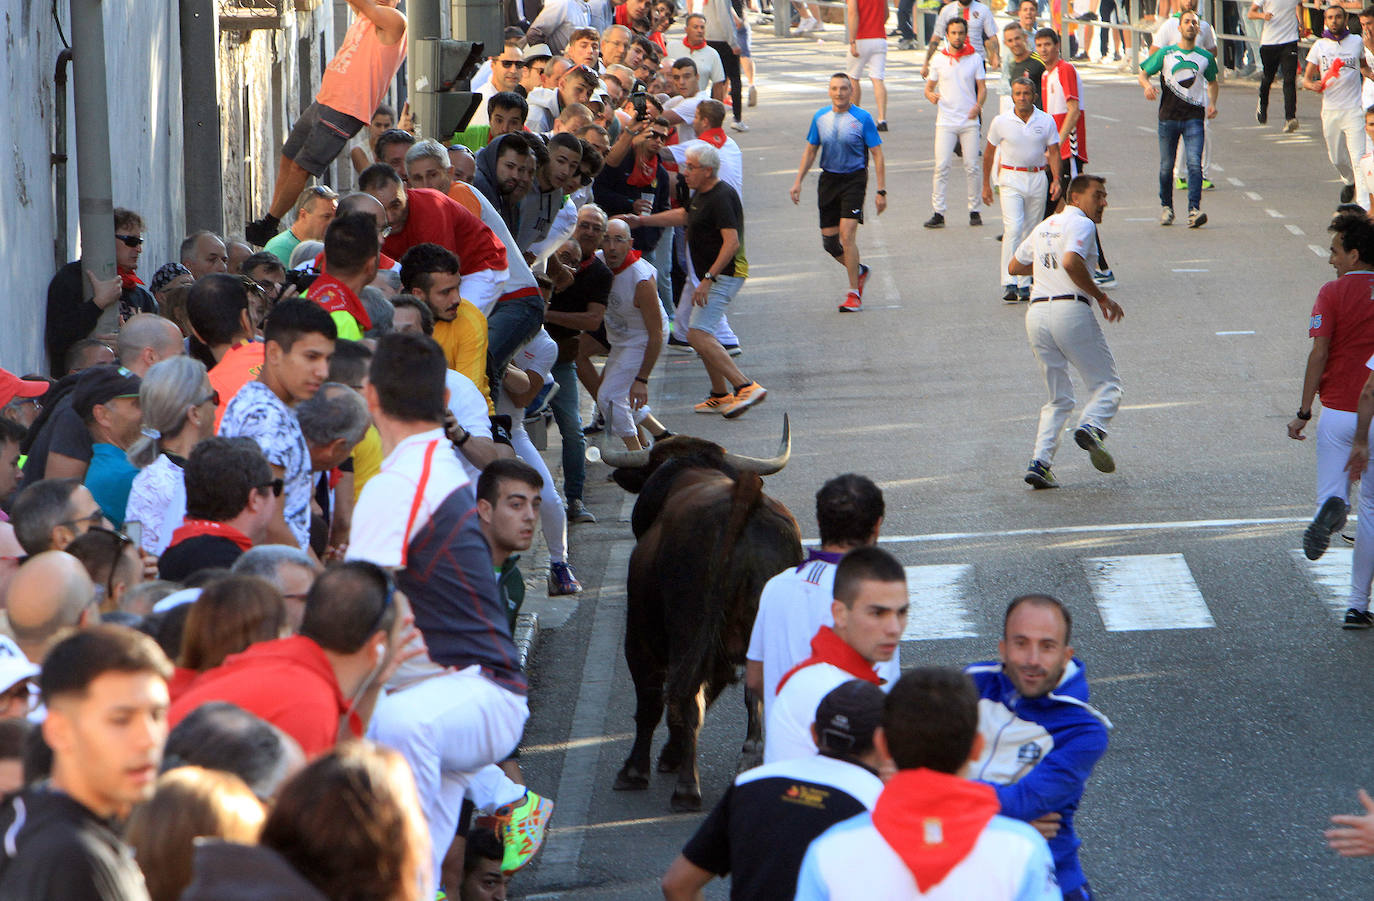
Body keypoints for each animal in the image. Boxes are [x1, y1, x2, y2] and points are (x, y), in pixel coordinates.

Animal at [604, 417, 802, 813]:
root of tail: (743, 500)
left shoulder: (640, 635)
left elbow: (653, 701)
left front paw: (636, 770)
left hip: (685, 629)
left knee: (682, 696)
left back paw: (686, 789)